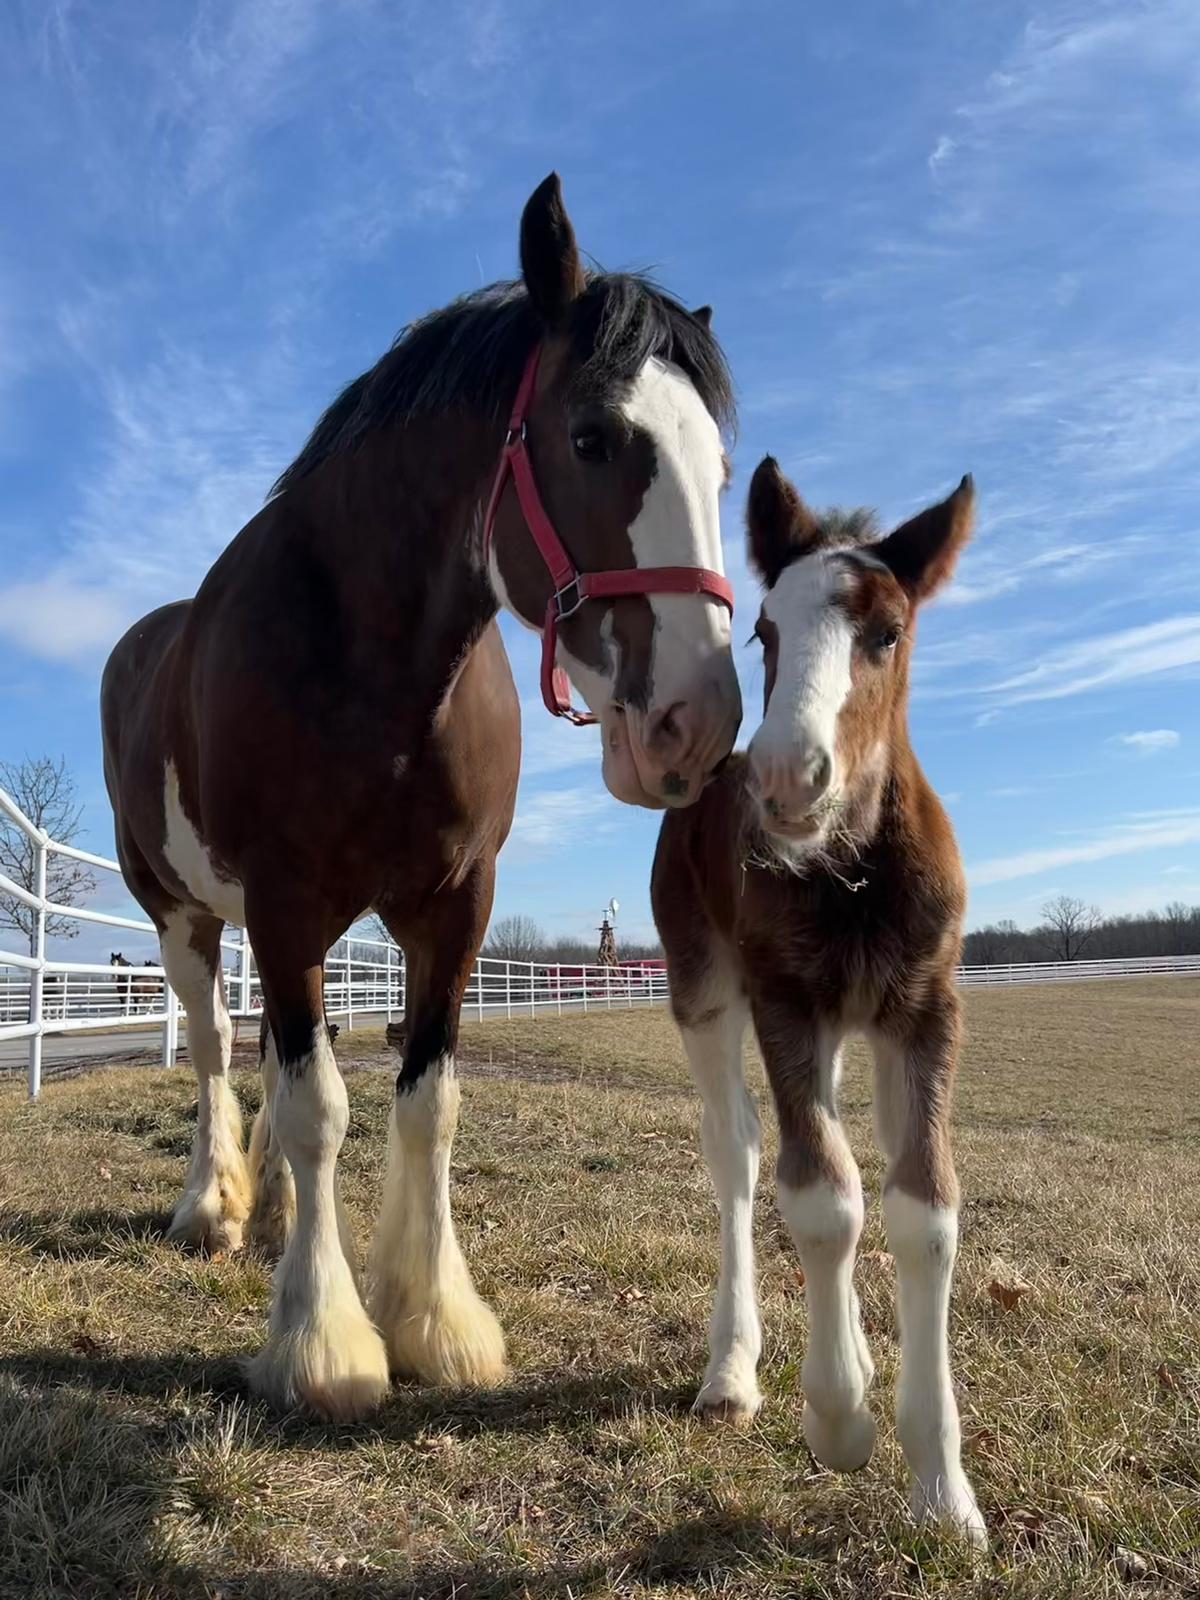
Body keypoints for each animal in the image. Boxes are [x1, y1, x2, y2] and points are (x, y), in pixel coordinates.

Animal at [101, 178, 742, 1427]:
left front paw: (434, 1319)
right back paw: (215, 1205)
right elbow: (315, 1106)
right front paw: (324, 1342)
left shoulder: (453, 905)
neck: (371, 658)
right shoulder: (287, 903)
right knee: (211, 1044)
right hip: (184, 914)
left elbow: (423, 1098)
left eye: (723, 465)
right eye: (592, 437)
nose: (697, 720)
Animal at [659, 457, 985, 1542]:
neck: (850, 873)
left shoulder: (927, 1009)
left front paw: (943, 1488)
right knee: (742, 1157)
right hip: (703, 991)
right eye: (764, 632)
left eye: (886, 632)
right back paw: (733, 1371)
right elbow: (822, 1198)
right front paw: (838, 1417)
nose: (785, 778)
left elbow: (923, 1207)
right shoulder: (783, 1001)